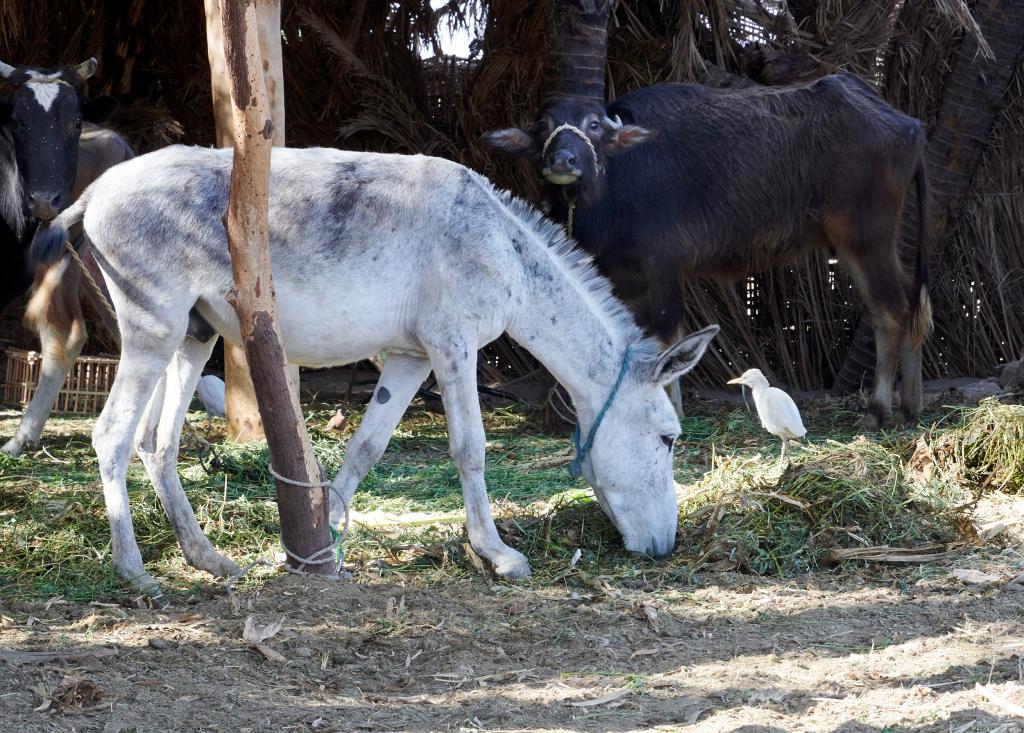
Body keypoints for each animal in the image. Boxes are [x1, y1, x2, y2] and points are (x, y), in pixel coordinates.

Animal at [483, 73, 933, 429]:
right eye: (544, 125)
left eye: (593, 124)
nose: (563, 160)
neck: (616, 181)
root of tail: (910, 124)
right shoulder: (627, 278)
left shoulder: (665, 268)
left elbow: (667, 339)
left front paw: (674, 411)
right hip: (871, 243)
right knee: (911, 302)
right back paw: (909, 407)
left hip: (864, 238)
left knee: (890, 310)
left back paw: (877, 410)